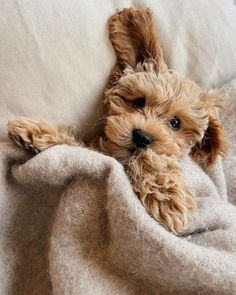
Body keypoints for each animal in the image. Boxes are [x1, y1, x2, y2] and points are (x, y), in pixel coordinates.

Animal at [6, 8, 227, 235]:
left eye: (176, 123)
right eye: (138, 102)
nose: (142, 137)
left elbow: (150, 159)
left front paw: (167, 198)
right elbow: (76, 144)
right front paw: (37, 133)